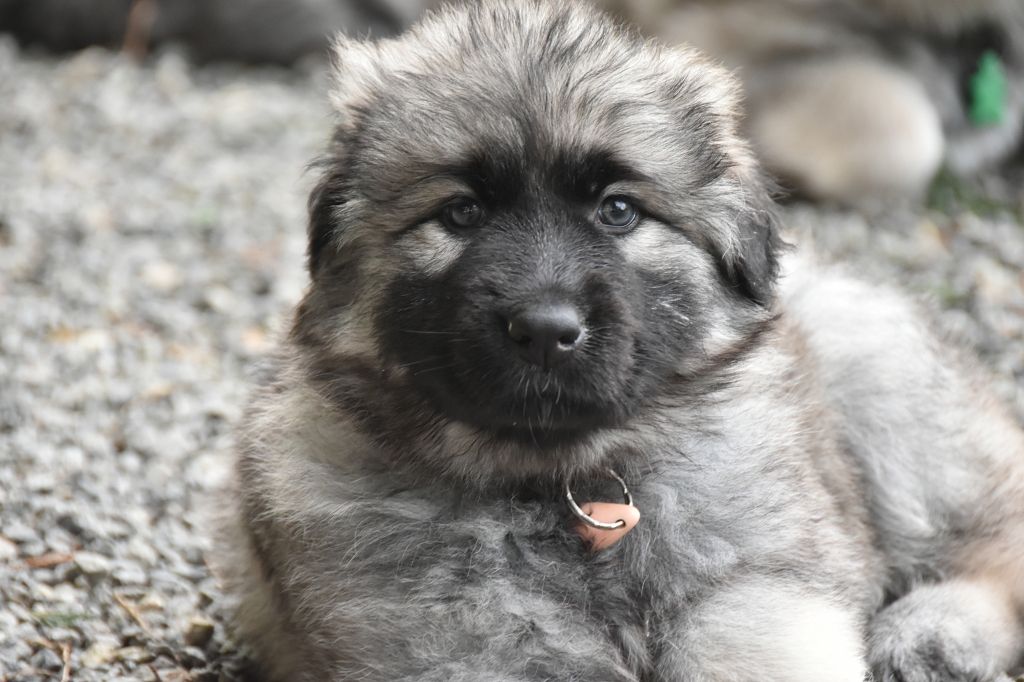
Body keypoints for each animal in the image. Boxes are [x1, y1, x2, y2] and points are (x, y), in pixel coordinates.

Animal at [214, 1, 1024, 679]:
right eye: (462, 213)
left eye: (618, 211)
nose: (545, 331)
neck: (569, 486)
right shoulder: (449, 645)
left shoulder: (756, 590)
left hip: (880, 374)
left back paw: (931, 631)